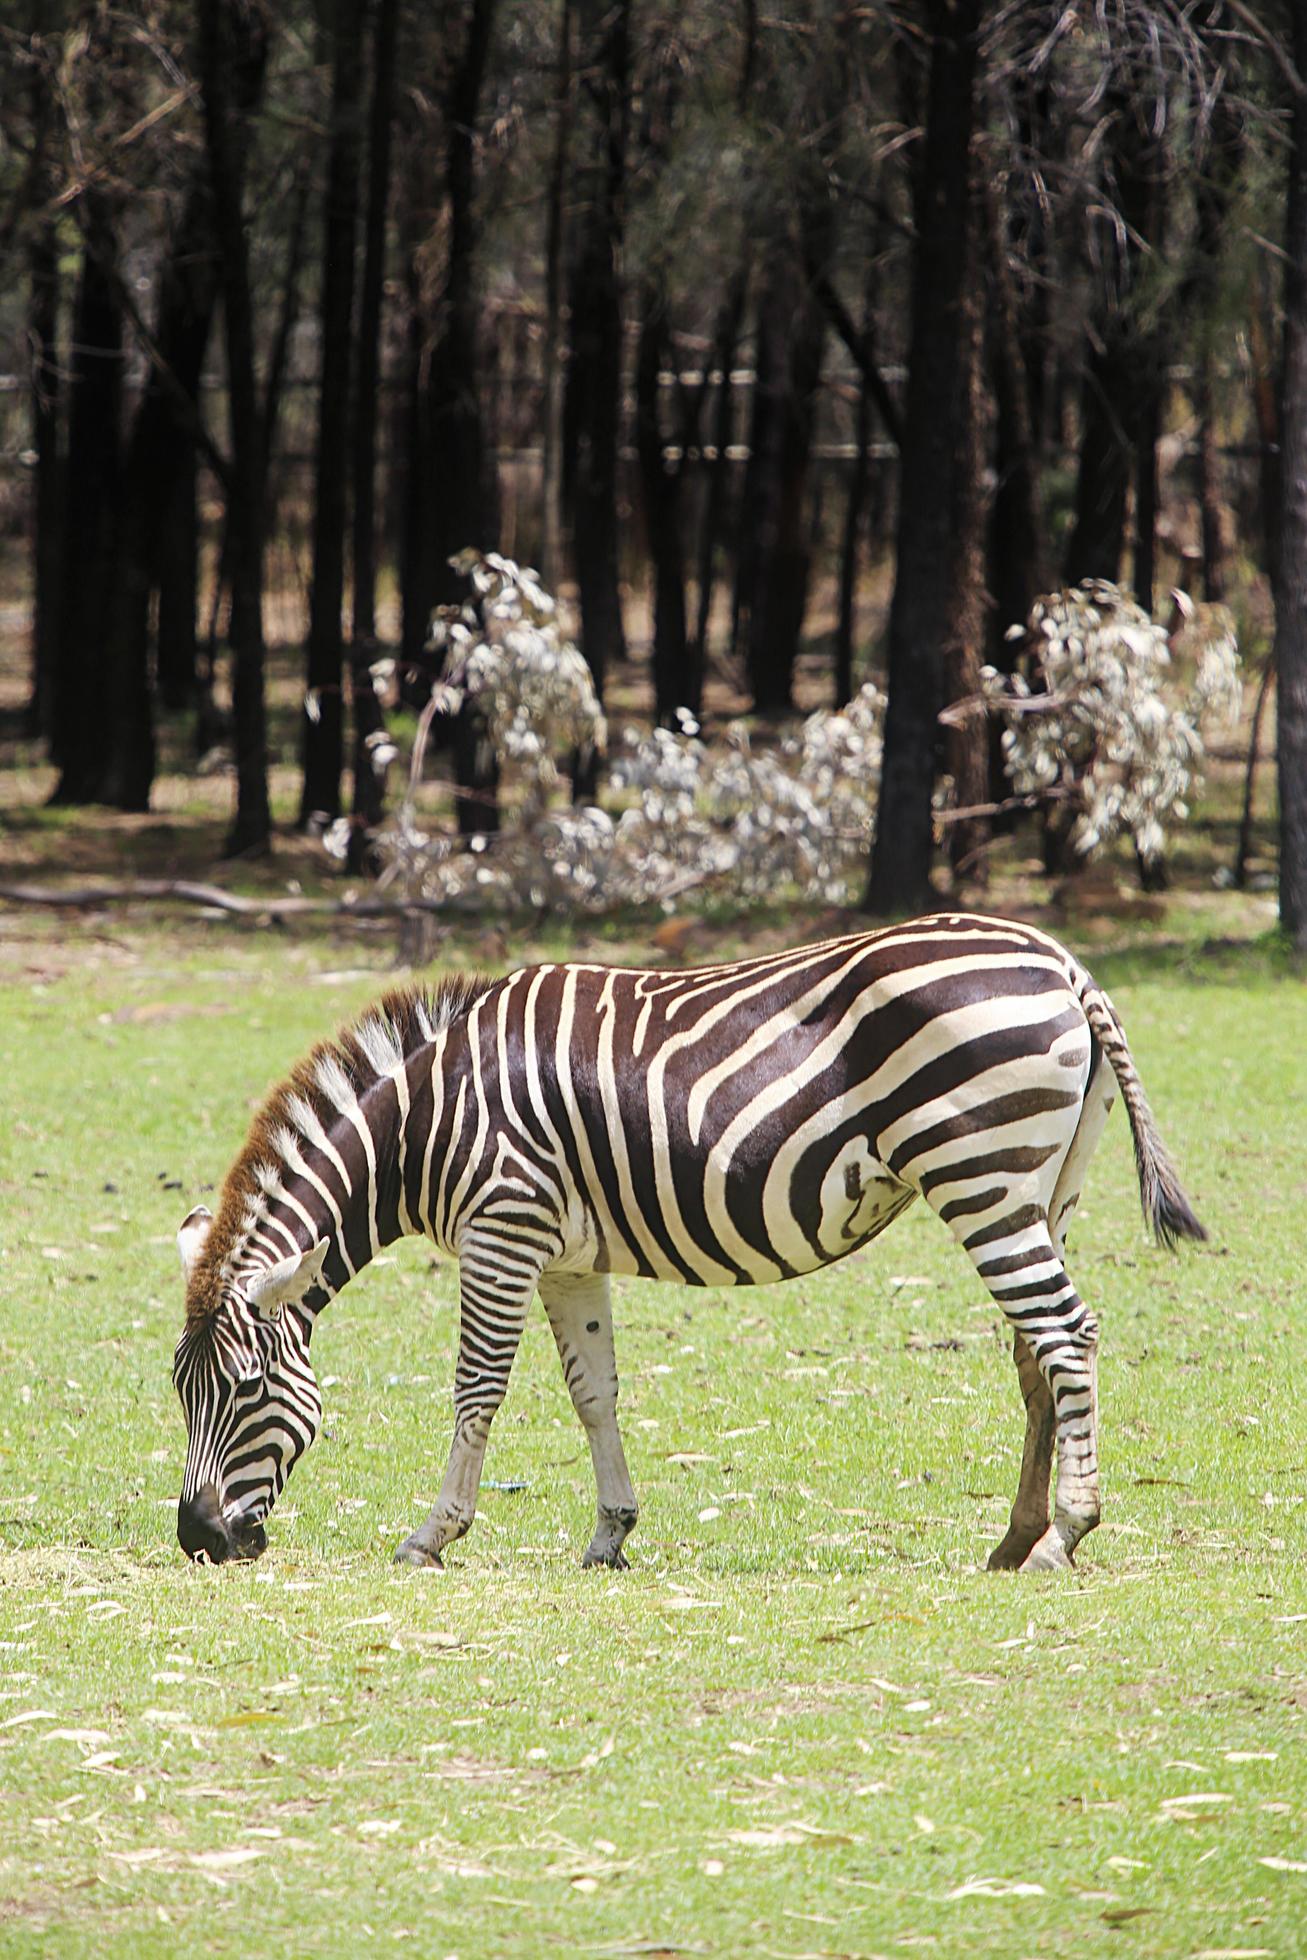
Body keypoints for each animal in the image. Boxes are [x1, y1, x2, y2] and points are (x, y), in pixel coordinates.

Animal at [173, 913, 1205, 1574]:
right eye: (181, 1395)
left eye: (247, 1391)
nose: (197, 1540)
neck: (426, 1122)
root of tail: (1062, 963)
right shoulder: (565, 1256)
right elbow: (593, 1392)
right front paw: (610, 1535)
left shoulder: (502, 1230)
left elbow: (476, 1389)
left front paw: (433, 1535)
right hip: (1041, 1185)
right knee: (1036, 1352)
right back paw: (1013, 1539)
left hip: (980, 1176)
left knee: (1066, 1335)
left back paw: (1066, 1534)